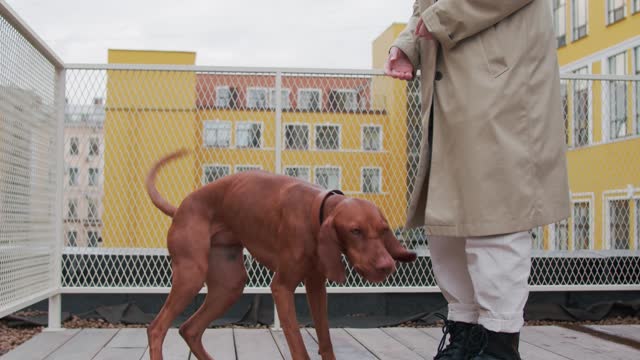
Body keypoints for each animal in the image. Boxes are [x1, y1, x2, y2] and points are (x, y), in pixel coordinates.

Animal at [144, 148, 416, 358]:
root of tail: (180, 208)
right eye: (355, 231)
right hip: (191, 276)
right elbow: (299, 347)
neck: (315, 211)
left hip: (229, 285)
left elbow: (326, 342)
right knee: (157, 328)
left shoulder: (316, 287)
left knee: (189, 329)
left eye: (383, 230)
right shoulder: (282, 288)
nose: (387, 266)